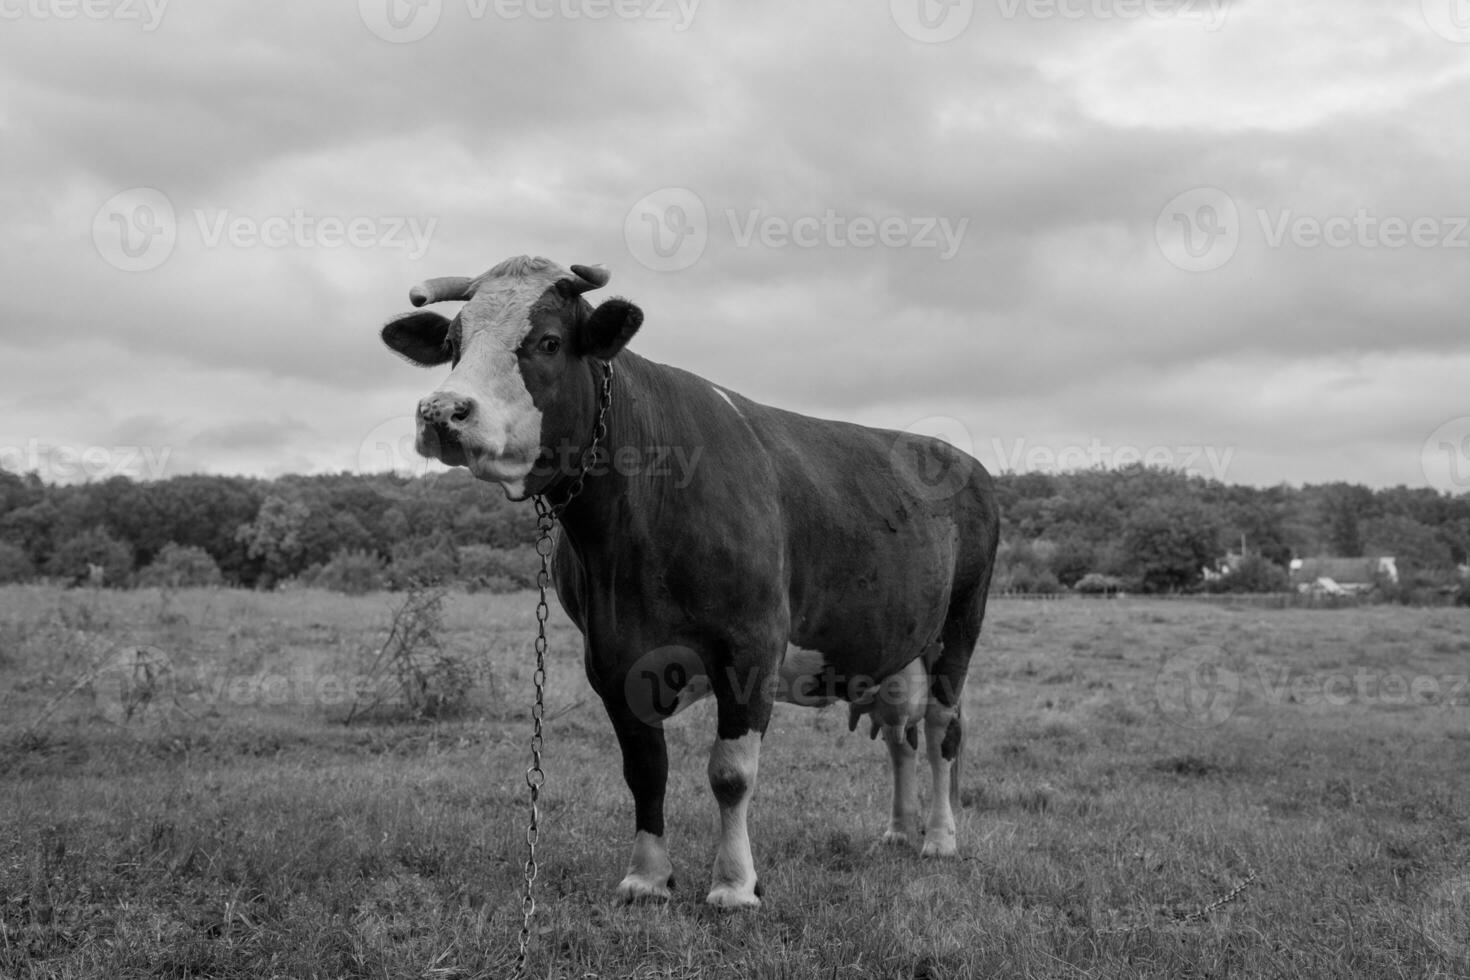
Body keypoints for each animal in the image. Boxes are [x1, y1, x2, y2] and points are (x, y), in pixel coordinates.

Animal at [379, 257, 999, 910]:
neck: (631, 531)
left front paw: (734, 884)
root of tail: (957, 457)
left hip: (961, 625)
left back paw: (939, 839)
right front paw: (648, 877)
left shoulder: (753, 645)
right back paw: (899, 833)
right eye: (453, 345)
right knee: (901, 735)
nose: (442, 411)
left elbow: (731, 773)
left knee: (941, 729)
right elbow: (646, 770)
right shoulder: (610, 657)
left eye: (548, 341)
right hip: (892, 647)